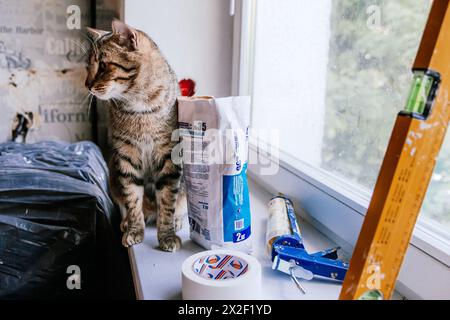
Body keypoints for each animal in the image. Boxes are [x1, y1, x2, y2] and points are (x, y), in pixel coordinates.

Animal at [86, 20, 185, 251]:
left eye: (103, 66)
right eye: (88, 66)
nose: (87, 85)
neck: (139, 107)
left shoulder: (168, 155)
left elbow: (167, 200)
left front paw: (167, 234)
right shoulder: (125, 155)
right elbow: (132, 198)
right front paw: (134, 229)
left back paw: (176, 220)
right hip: (113, 175)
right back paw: (126, 222)